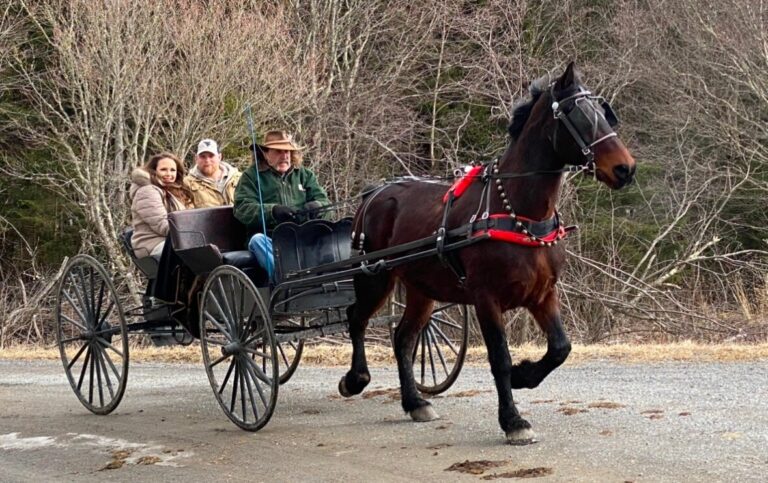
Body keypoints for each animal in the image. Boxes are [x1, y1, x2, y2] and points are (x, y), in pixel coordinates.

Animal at [339, 62, 636, 444]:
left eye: (604, 112)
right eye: (578, 115)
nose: (625, 168)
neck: (517, 213)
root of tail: (374, 193)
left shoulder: (543, 294)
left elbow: (560, 348)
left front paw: (526, 376)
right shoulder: (486, 298)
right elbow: (500, 358)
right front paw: (513, 421)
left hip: (421, 288)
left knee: (403, 338)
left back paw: (415, 402)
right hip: (374, 277)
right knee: (357, 318)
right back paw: (355, 379)